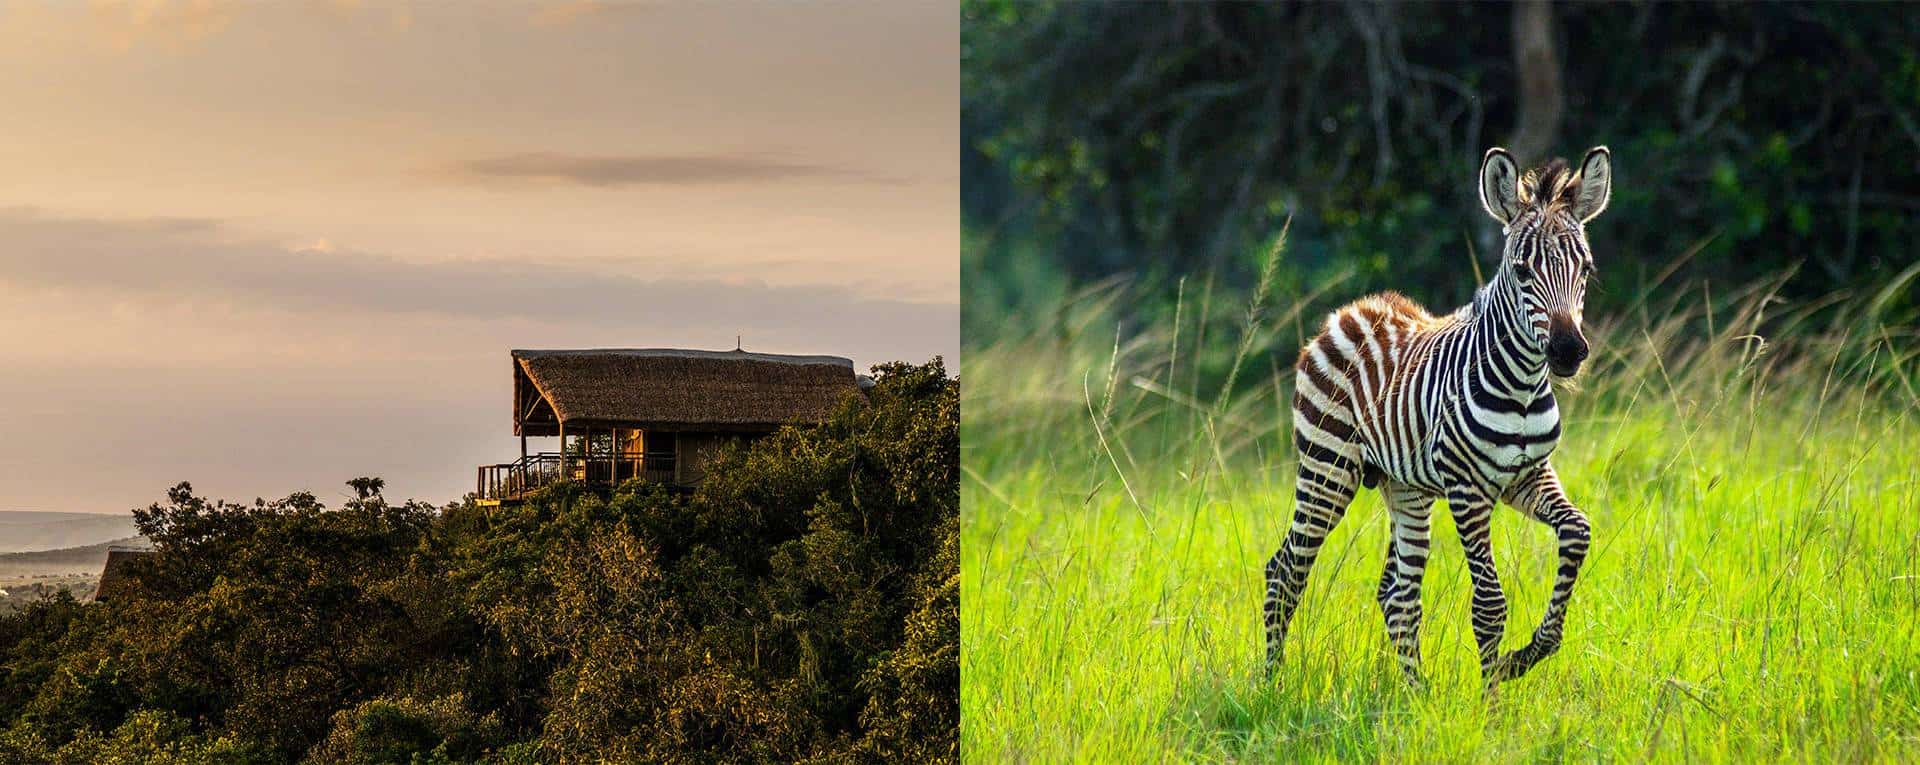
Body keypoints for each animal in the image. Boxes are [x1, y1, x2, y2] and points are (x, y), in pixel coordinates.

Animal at [1267, 146, 1612, 691]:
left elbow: (1577, 531)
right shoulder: (1468, 490)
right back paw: (1269, 683)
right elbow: (1489, 604)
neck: (1520, 386)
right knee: (1285, 572)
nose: (1568, 352)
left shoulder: (1529, 476)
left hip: (1405, 487)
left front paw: (1527, 655)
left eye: (1586, 268)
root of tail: (1350, 310)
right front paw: (1493, 703)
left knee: (1398, 596)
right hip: (1327, 468)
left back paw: (1418, 696)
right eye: (1522, 271)